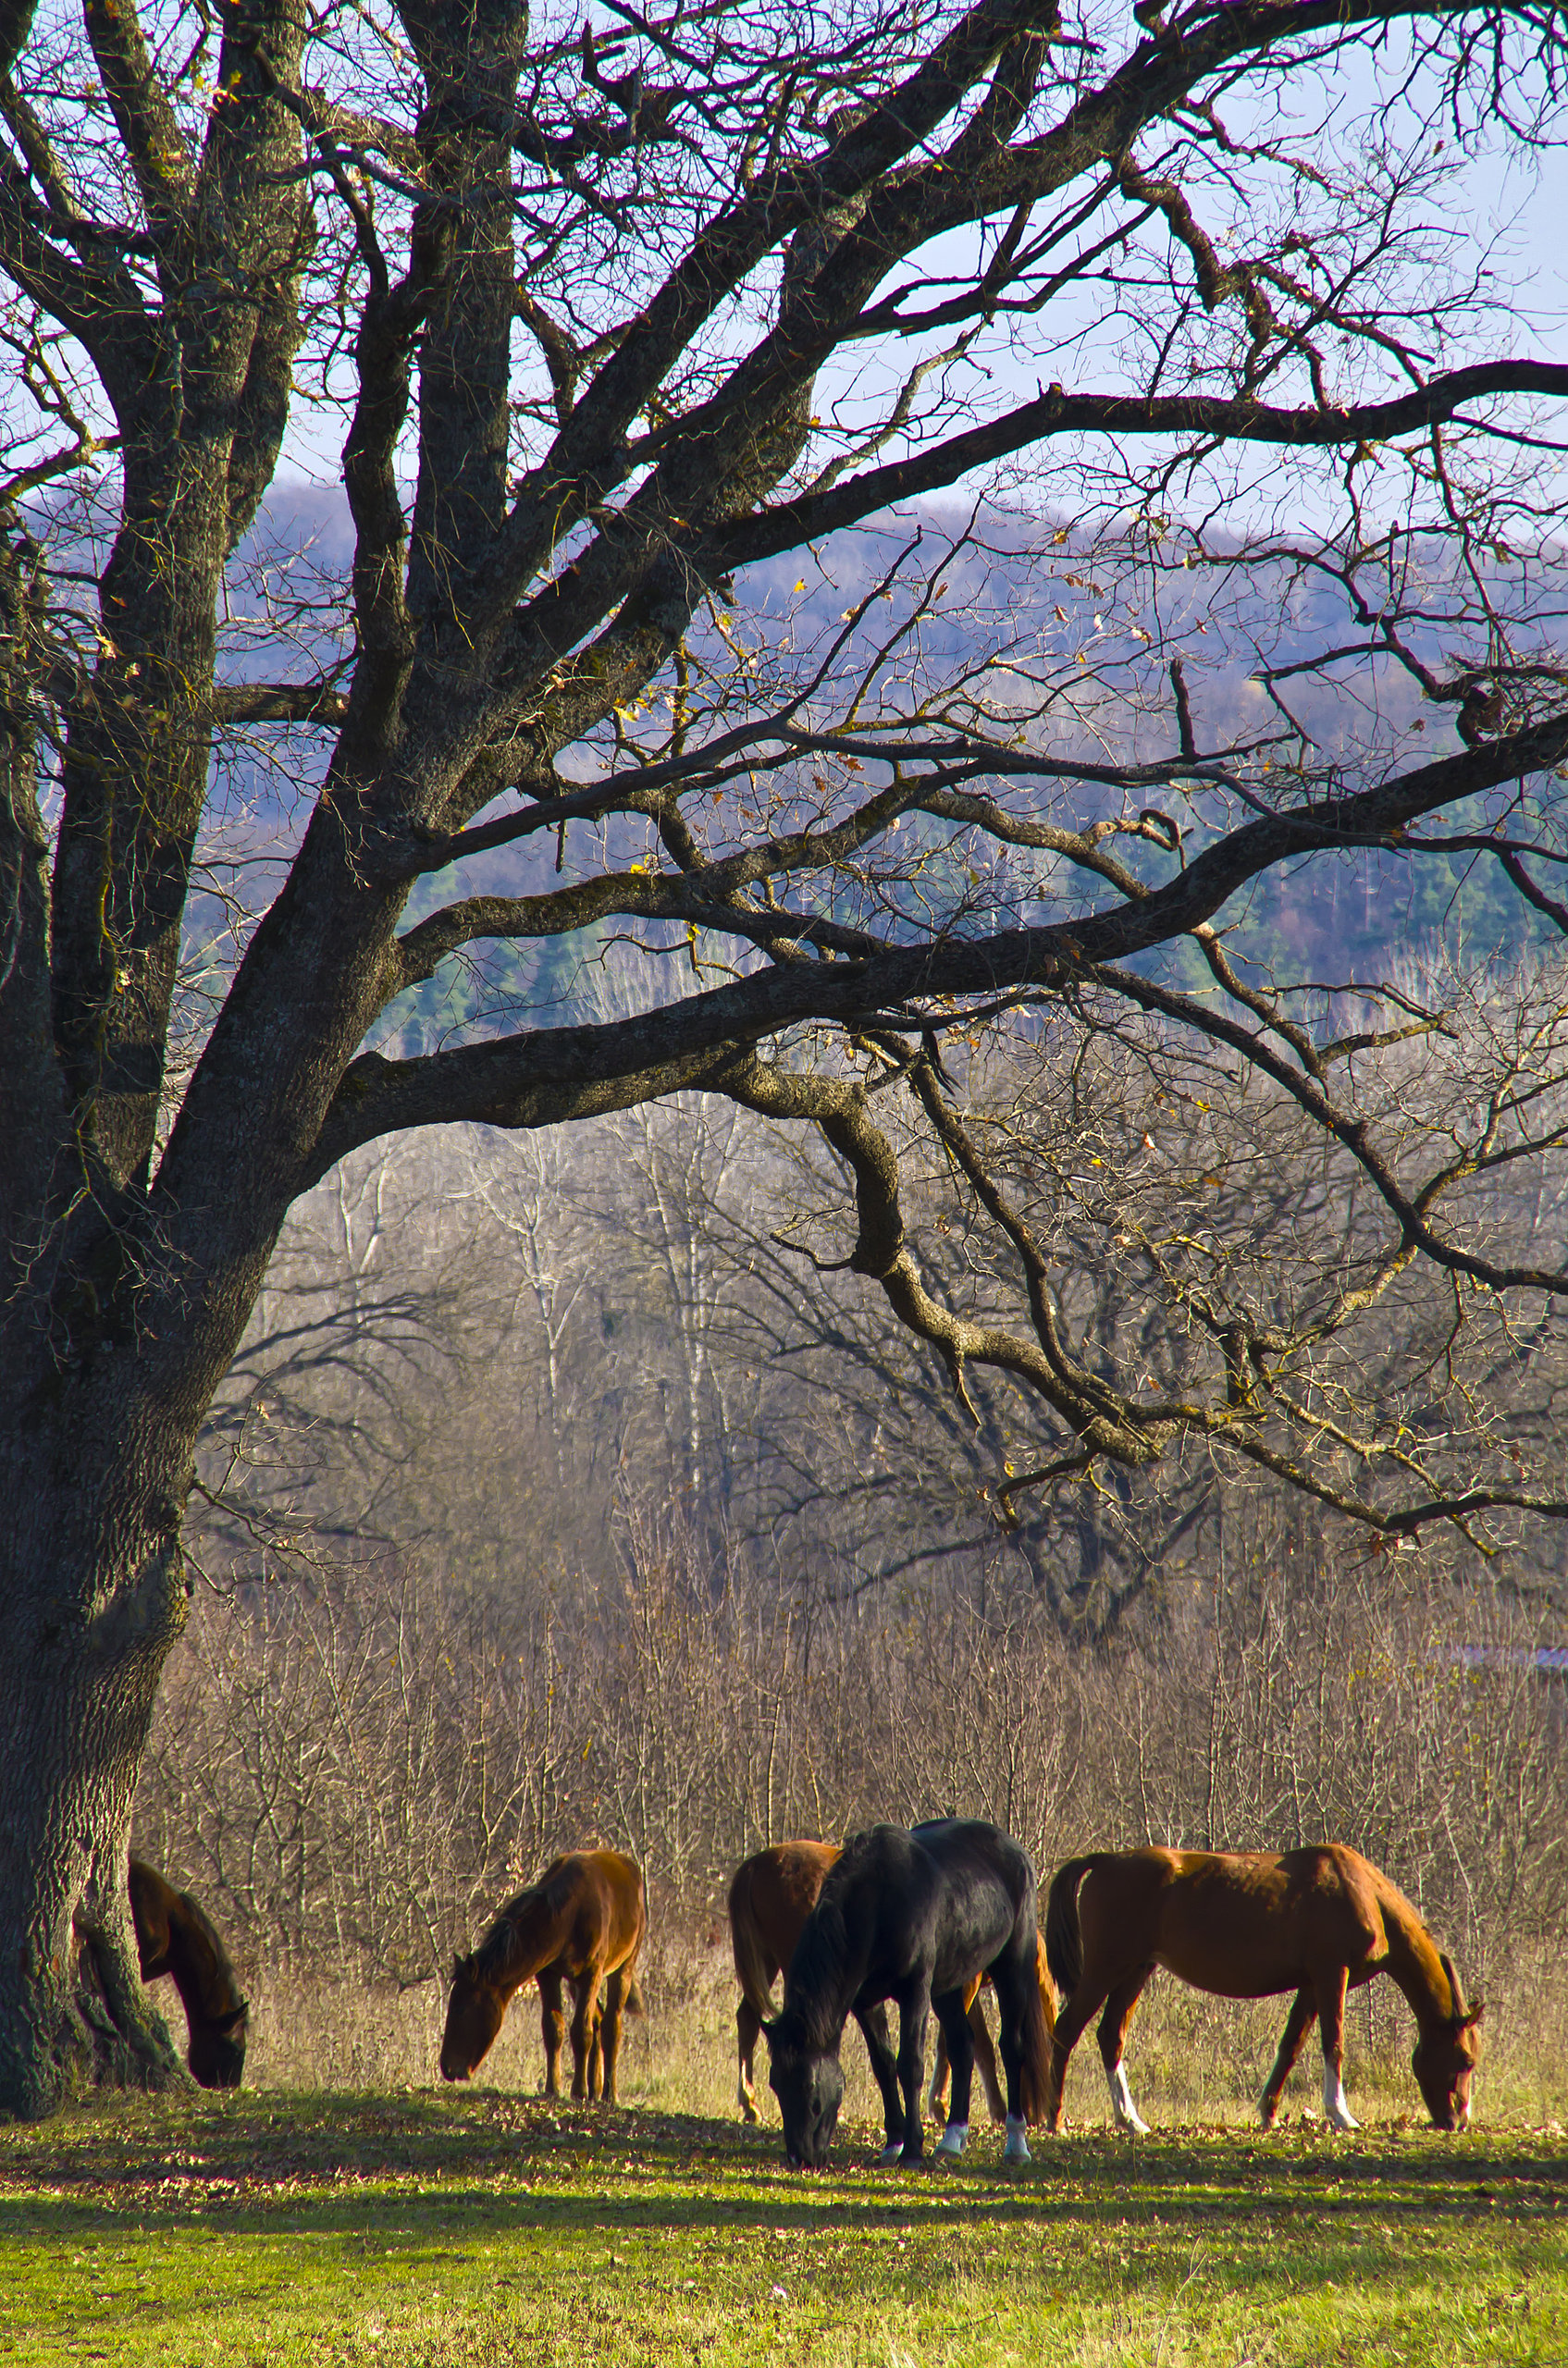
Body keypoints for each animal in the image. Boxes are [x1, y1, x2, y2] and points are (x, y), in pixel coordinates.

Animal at [442, 1837, 644, 2103]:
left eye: (461, 2009)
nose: (446, 2067)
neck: (567, 1916)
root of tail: (630, 1868)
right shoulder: (548, 1974)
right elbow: (553, 2028)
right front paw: (553, 2087)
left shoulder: (592, 1973)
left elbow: (581, 2031)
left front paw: (578, 2090)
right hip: (574, 1984)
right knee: (599, 2020)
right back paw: (596, 2089)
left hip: (622, 1969)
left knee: (611, 2025)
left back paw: (609, 2093)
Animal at [1042, 1837, 1487, 2140]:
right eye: (1465, 2060)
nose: (1457, 2121)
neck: (1362, 1891)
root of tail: (1104, 1860)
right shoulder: (1332, 1975)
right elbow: (1334, 2042)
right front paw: (1340, 2113)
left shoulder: (1310, 1985)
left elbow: (1291, 2045)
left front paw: (1269, 2112)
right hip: (1107, 1968)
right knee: (1066, 2031)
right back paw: (1056, 2118)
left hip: (1136, 1969)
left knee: (1110, 2035)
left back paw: (1130, 2120)